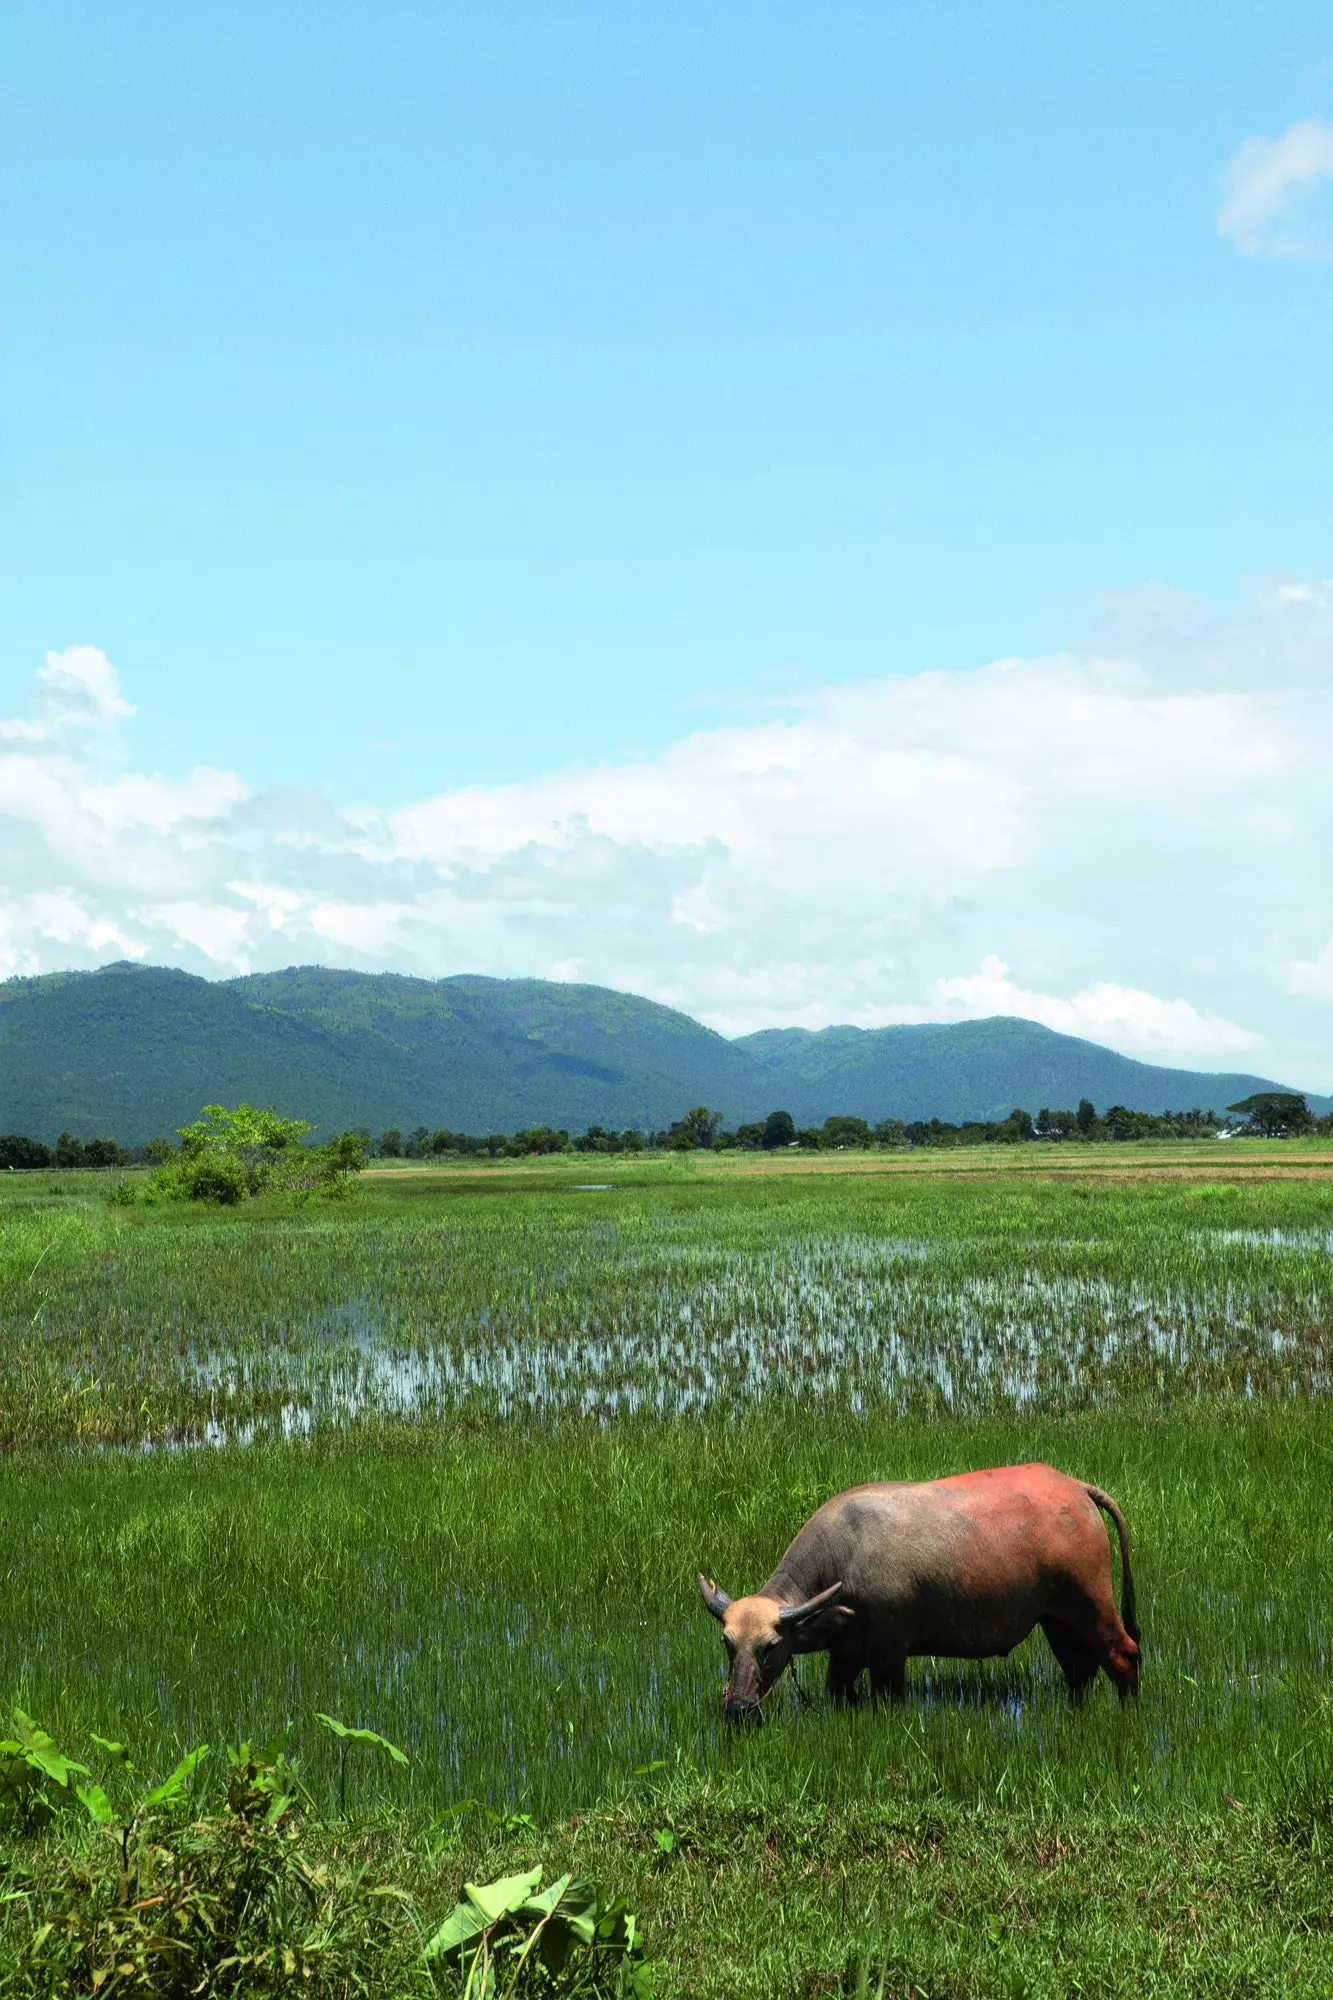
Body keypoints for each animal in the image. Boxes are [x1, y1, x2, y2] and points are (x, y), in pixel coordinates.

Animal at [688, 1464, 1136, 1728]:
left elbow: (888, 1696)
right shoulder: (845, 1652)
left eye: (770, 1647)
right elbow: (839, 1693)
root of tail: (1077, 1488)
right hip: (1056, 1618)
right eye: (728, 1644)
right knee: (1079, 1668)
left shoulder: (890, 1651)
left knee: (1123, 1655)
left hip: (1092, 1601)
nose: (738, 1708)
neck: (843, 1555)